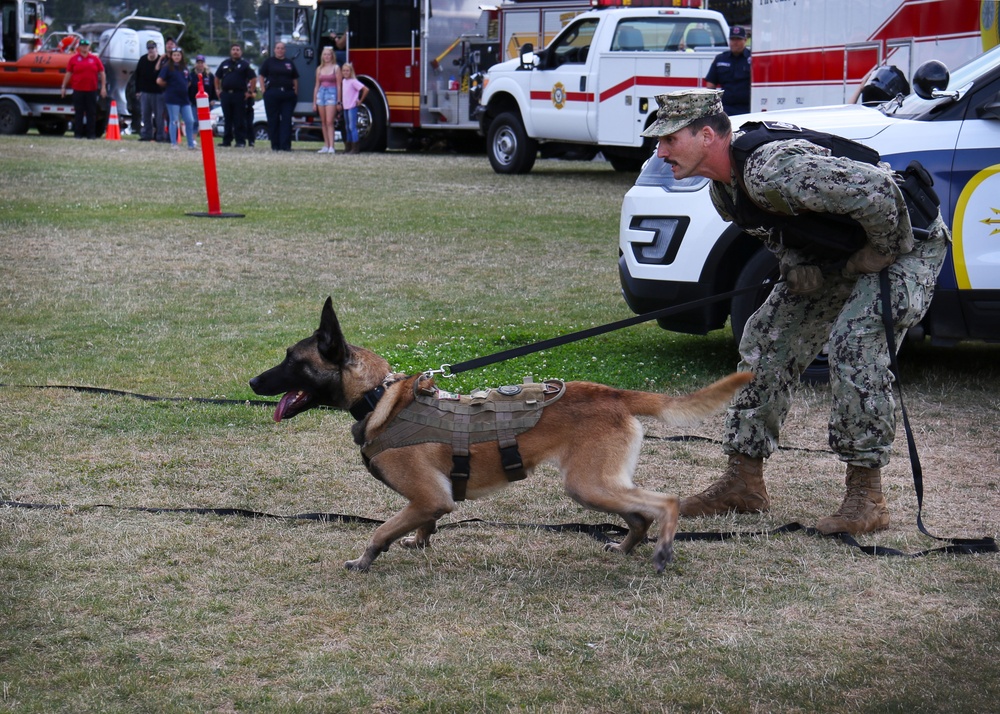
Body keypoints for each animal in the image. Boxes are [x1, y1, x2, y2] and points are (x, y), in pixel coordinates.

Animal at [250, 298, 752, 572]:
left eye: (292, 360)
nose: (253, 382)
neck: (379, 397)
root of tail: (612, 392)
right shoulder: (432, 500)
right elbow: (423, 523)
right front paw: (419, 541)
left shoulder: (427, 496)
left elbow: (383, 529)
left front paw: (364, 560)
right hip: (596, 486)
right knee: (638, 515)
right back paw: (627, 546)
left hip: (588, 483)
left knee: (665, 502)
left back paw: (663, 549)